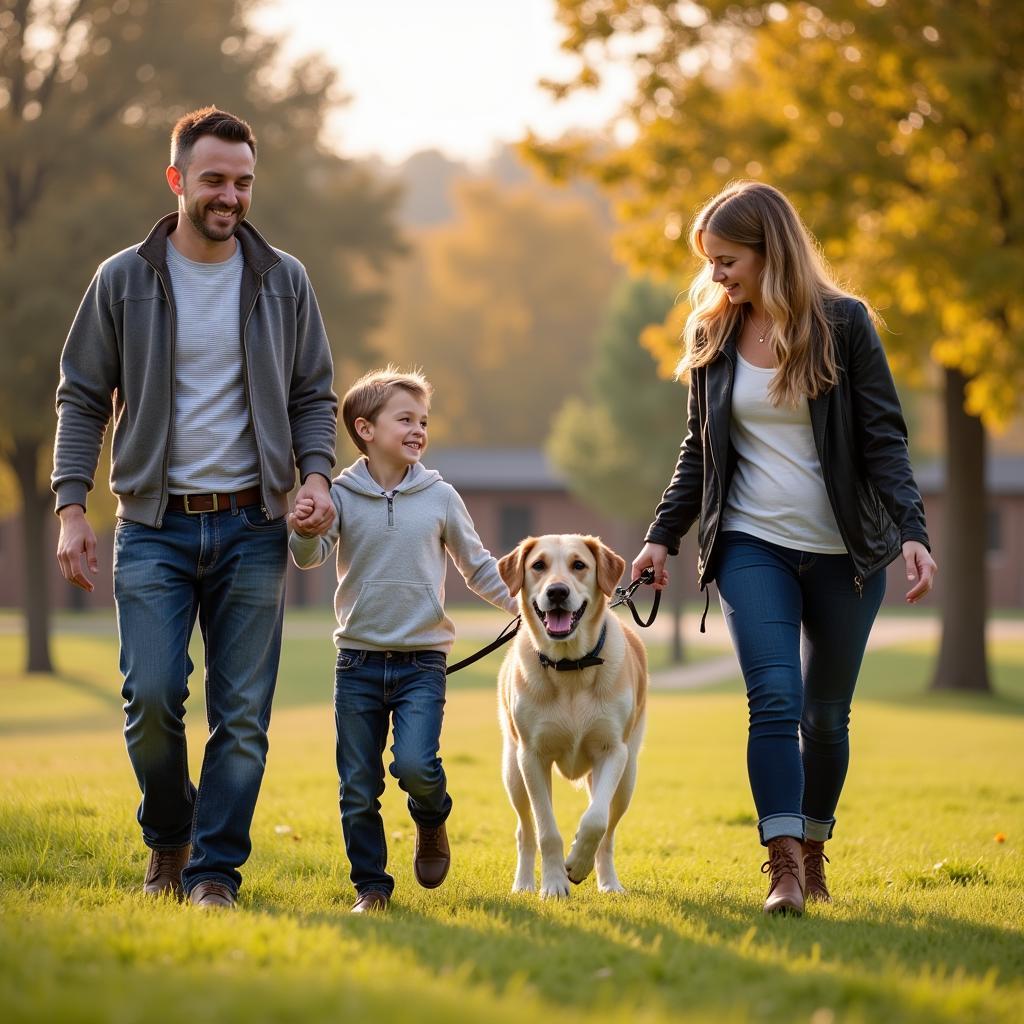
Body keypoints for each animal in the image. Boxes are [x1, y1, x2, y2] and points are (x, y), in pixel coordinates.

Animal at [497, 536, 647, 897]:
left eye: (579, 565)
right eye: (538, 565)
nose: (557, 592)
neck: (570, 667)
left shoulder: (613, 751)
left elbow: (595, 821)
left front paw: (577, 864)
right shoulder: (532, 756)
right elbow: (547, 830)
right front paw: (553, 884)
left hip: (628, 777)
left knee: (608, 832)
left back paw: (608, 882)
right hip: (513, 773)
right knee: (526, 830)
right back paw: (524, 883)